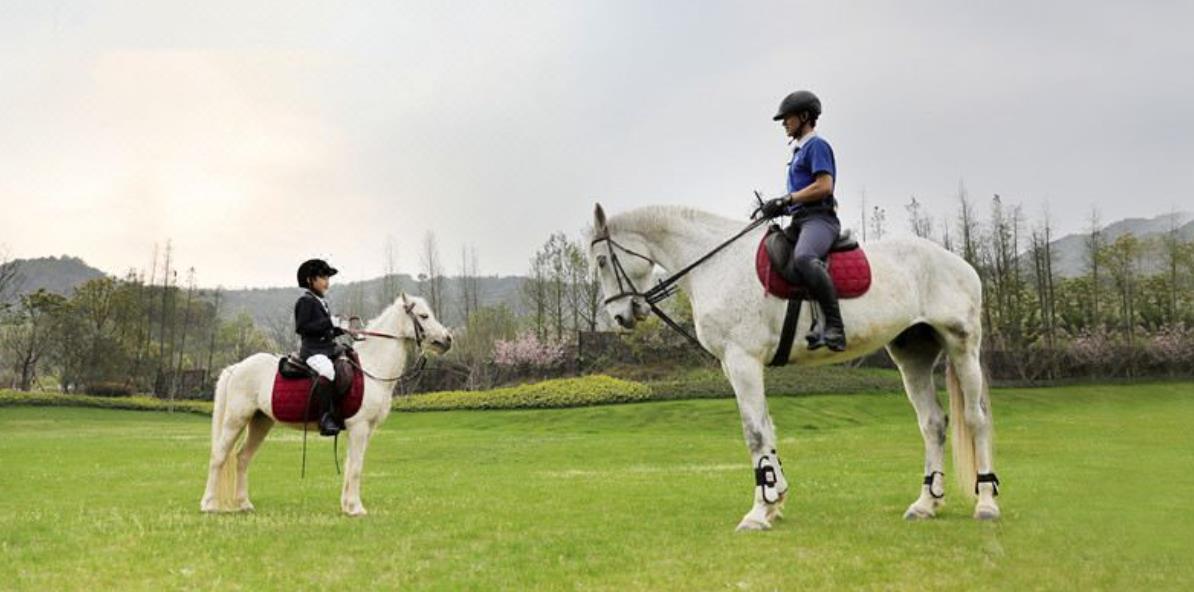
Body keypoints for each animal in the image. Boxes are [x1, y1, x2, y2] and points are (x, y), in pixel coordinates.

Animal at [200, 293, 451, 515]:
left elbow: (351, 465)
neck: (371, 369)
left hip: (260, 422)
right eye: (424, 316)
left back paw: (244, 504)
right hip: (236, 419)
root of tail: (236, 367)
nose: (448, 339)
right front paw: (356, 508)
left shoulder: (366, 430)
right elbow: (356, 467)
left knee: (242, 458)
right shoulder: (359, 427)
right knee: (219, 456)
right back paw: (209, 504)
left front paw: (348, 506)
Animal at [587, 205, 998, 529]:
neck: (716, 262)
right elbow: (767, 429)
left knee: (975, 420)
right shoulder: (735, 365)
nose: (621, 315)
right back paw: (927, 504)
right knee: (932, 424)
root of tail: (959, 263)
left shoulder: (743, 360)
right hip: (913, 355)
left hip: (962, 347)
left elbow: (754, 433)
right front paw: (775, 499)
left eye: (603, 260)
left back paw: (986, 502)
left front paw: (759, 511)